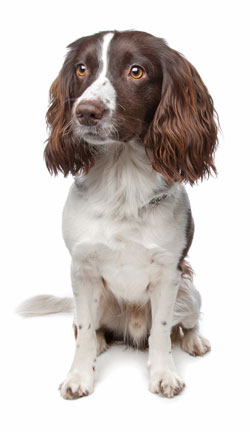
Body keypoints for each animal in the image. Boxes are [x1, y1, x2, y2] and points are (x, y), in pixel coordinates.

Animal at [17, 30, 218, 400]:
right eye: (82, 69)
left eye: (136, 71)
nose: (85, 112)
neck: (123, 181)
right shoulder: (82, 269)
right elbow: (83, 331)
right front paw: (79, 376)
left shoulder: (169, 273)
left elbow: (162, 331)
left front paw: (164, 374)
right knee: (85, 327)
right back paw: (99, 341)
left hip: (189, 292)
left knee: (188, 322)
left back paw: (194, 341)